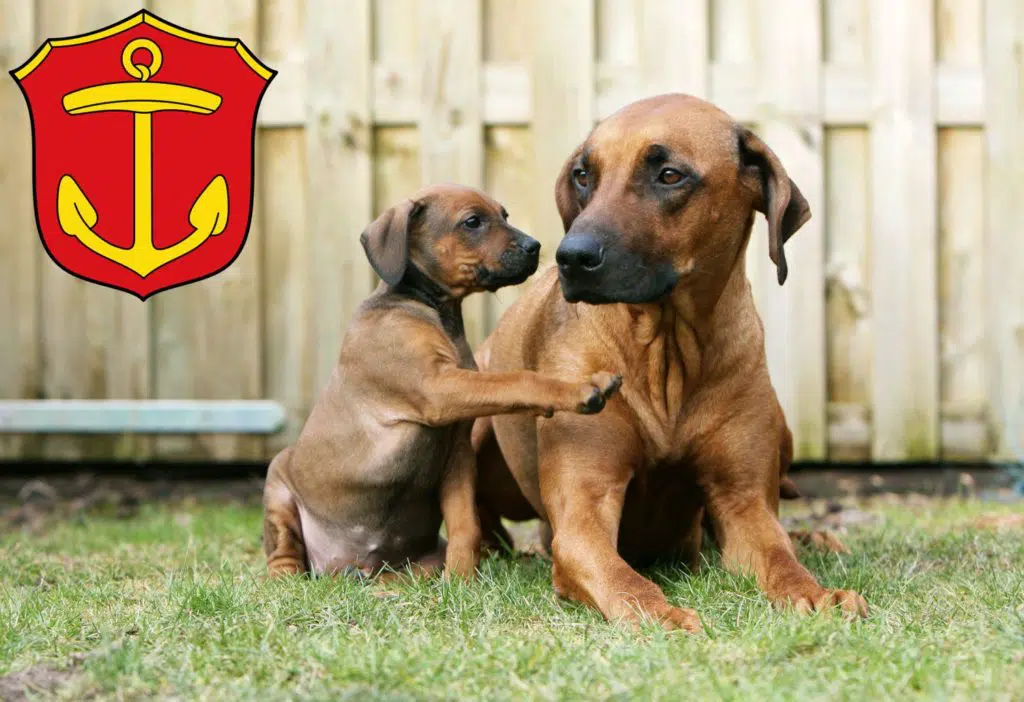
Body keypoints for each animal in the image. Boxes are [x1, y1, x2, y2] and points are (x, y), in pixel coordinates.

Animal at [260, 183, 618, 581]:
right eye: (472, 222)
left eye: (504, 215)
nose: (535, 246)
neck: (430, 308)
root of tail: (349, 565)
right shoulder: (436, 387)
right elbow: (517, 381)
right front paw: (580, 388)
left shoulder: (458, 455)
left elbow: (465, 524)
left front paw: (460, 579)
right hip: (278, 483)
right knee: (283, 551)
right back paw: (285, 576)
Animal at [468, 94, 864, 634]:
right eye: (583, 175)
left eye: (670, 175)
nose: (570, 257)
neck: (665, 350)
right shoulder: (583, 511)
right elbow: (615, 571)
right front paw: (657, 612)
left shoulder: (742, 500)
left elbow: (777, 554)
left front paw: (816, 592)